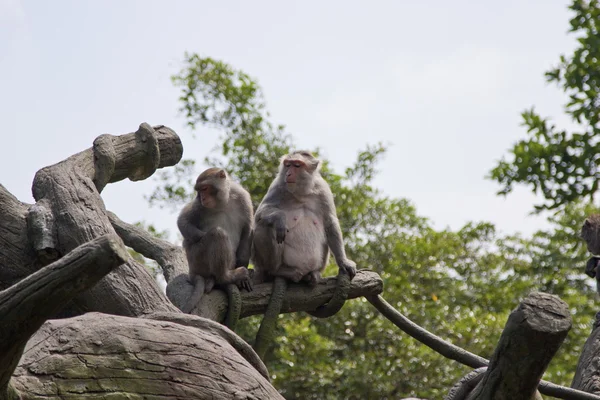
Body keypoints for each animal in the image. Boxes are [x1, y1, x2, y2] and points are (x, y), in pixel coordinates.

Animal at [177, 167, 254, 324]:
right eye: (199, 191)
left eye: (205, 188)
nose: (202, 198)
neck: (223, 202)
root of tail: (192, 271)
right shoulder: (198, 205)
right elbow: (183, 222)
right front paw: (194, 238)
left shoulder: (243, 197)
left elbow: (248, 230)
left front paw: (246, 277)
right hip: (197, 259)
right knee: (217, 234)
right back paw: (226, 277)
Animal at [250, 152, 354, 358]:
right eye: (288, 164)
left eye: (297, 165)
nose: (289, 173)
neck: (301, 193)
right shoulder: (277, 185)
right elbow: (260, 214)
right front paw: (280, 219)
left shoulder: (323, 190)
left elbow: (330, 222)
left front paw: (344, 262)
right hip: (265, 263)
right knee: (264, 226)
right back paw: (278, 271)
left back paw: (312, 275)